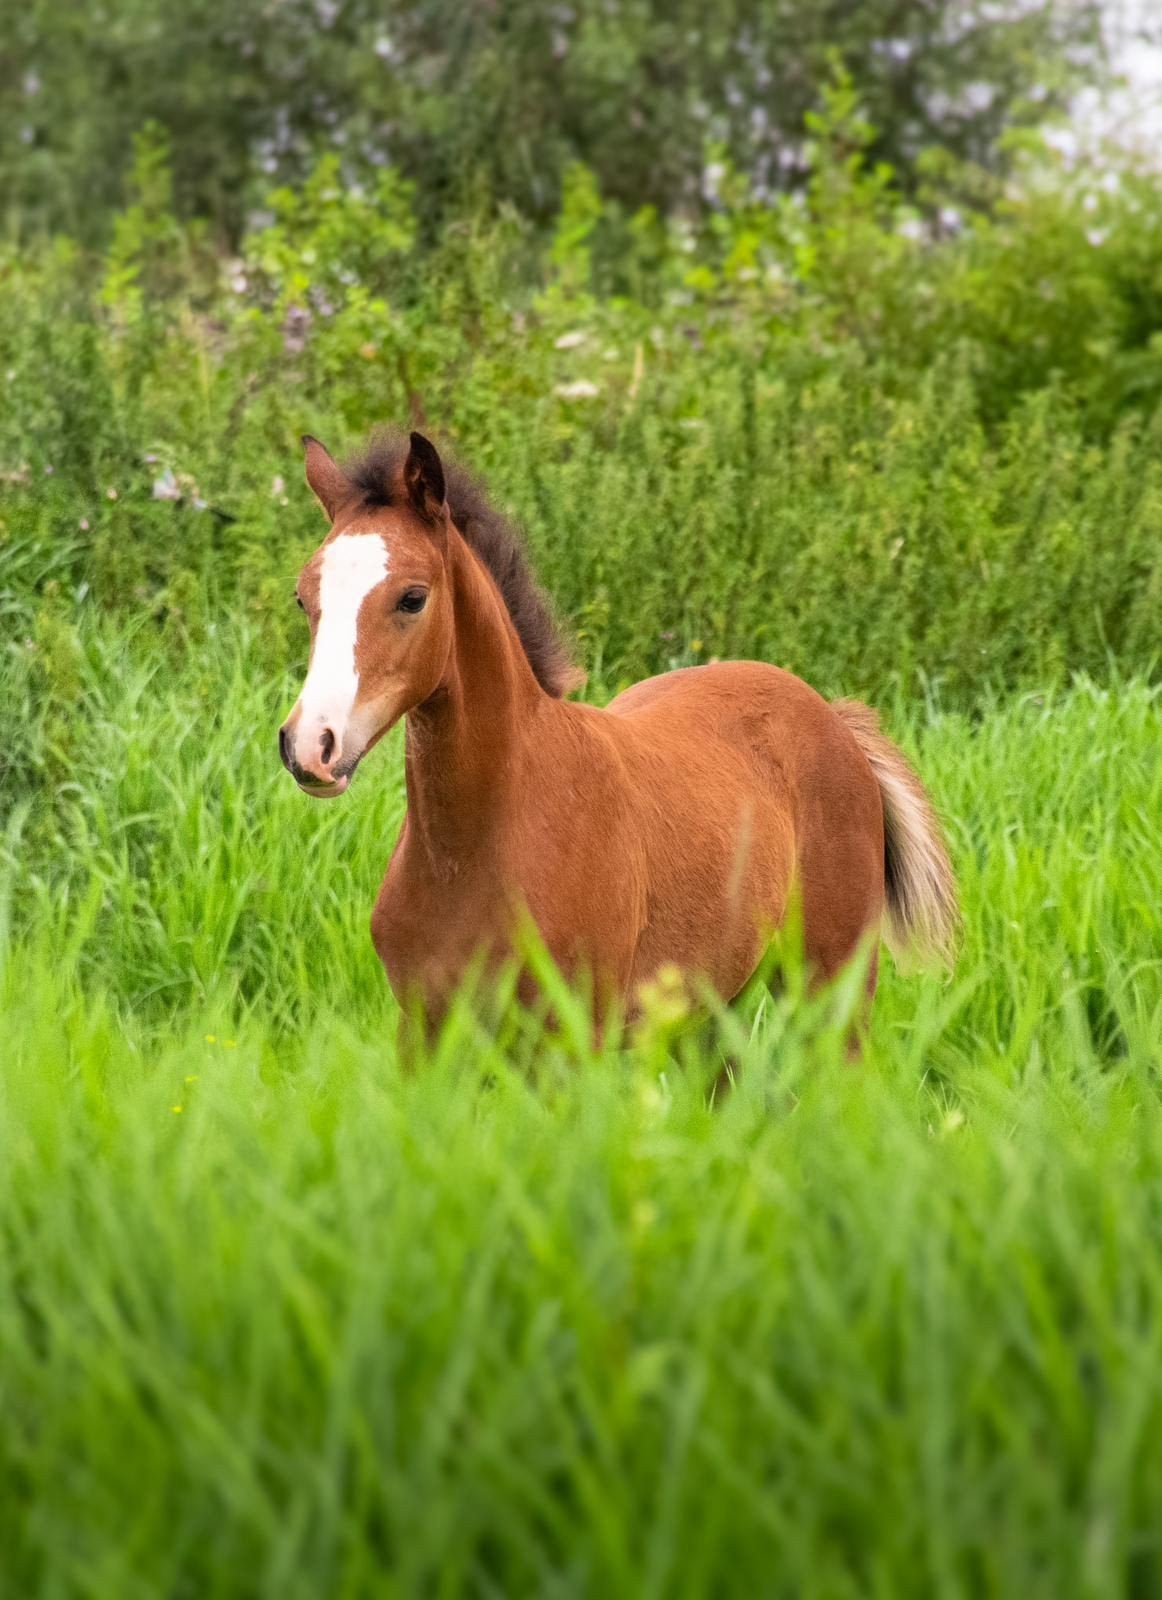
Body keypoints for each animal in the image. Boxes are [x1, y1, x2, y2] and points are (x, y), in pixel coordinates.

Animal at [279, 429, 958, 1036]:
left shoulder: (575, 1034)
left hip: (831, 991)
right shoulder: (424, 1035)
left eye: (413, 598)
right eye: (303, 598)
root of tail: (832, 717)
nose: (311, 745)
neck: (475, 845)